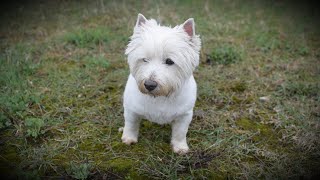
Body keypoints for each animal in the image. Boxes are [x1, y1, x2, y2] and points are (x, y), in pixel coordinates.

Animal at [122, 13, 200, 153]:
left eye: (169, 61)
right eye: (144, 59)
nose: (149, 85)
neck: (160, 97)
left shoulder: (184, 115)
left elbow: (180, 132)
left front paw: (180, 148)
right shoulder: (131, 110)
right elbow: (131, 125)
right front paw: (128, 139)